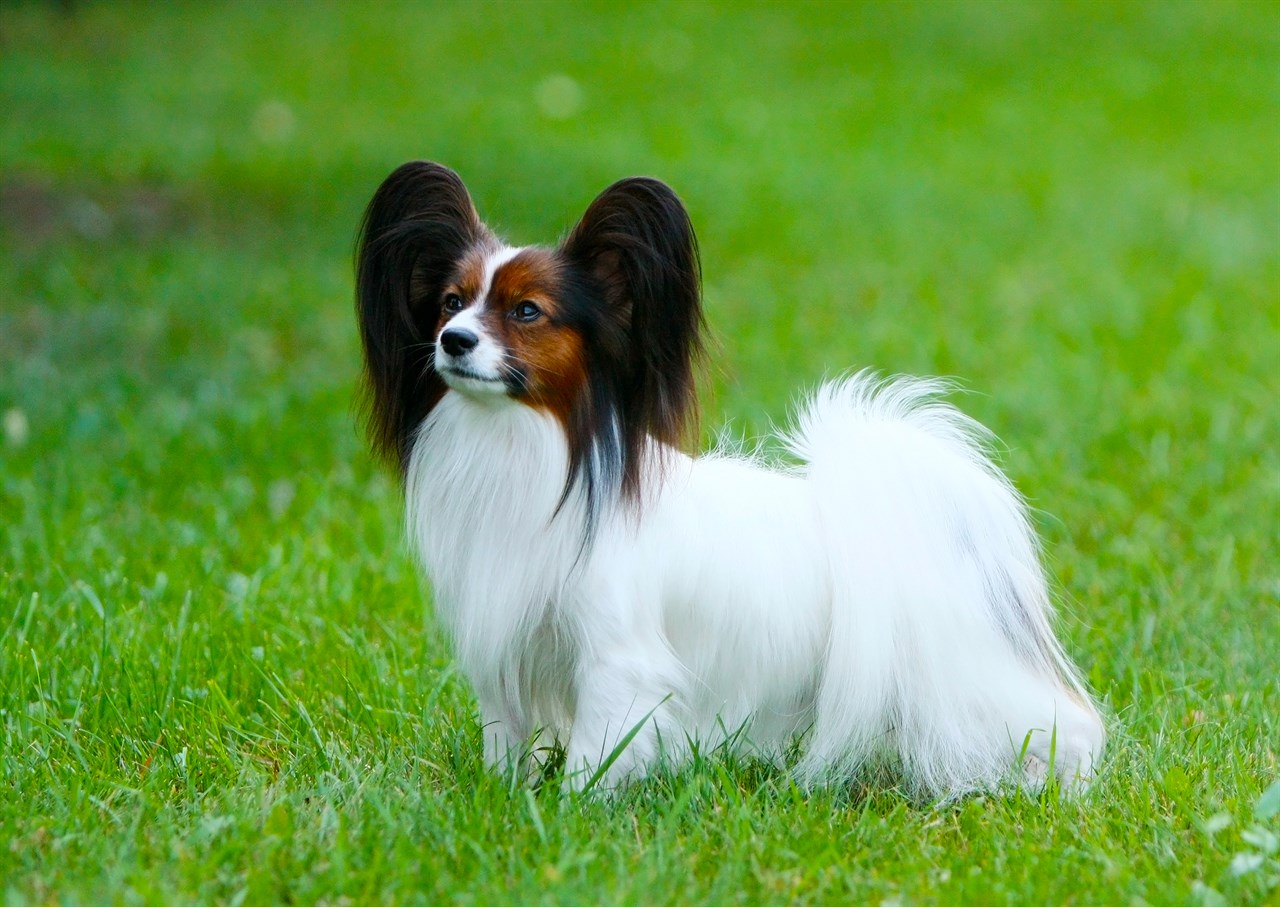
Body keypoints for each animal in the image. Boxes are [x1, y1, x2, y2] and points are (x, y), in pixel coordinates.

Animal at [355, 162, 1105, 798]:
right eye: (450, 301)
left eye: (527, 311)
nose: (452, 339)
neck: (535, 454)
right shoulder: (504, 648)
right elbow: (506, 737)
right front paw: (505, 795)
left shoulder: (616, 658)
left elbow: (598, 750)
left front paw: (572, 809)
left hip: (970, 678)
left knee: (1061, 725)